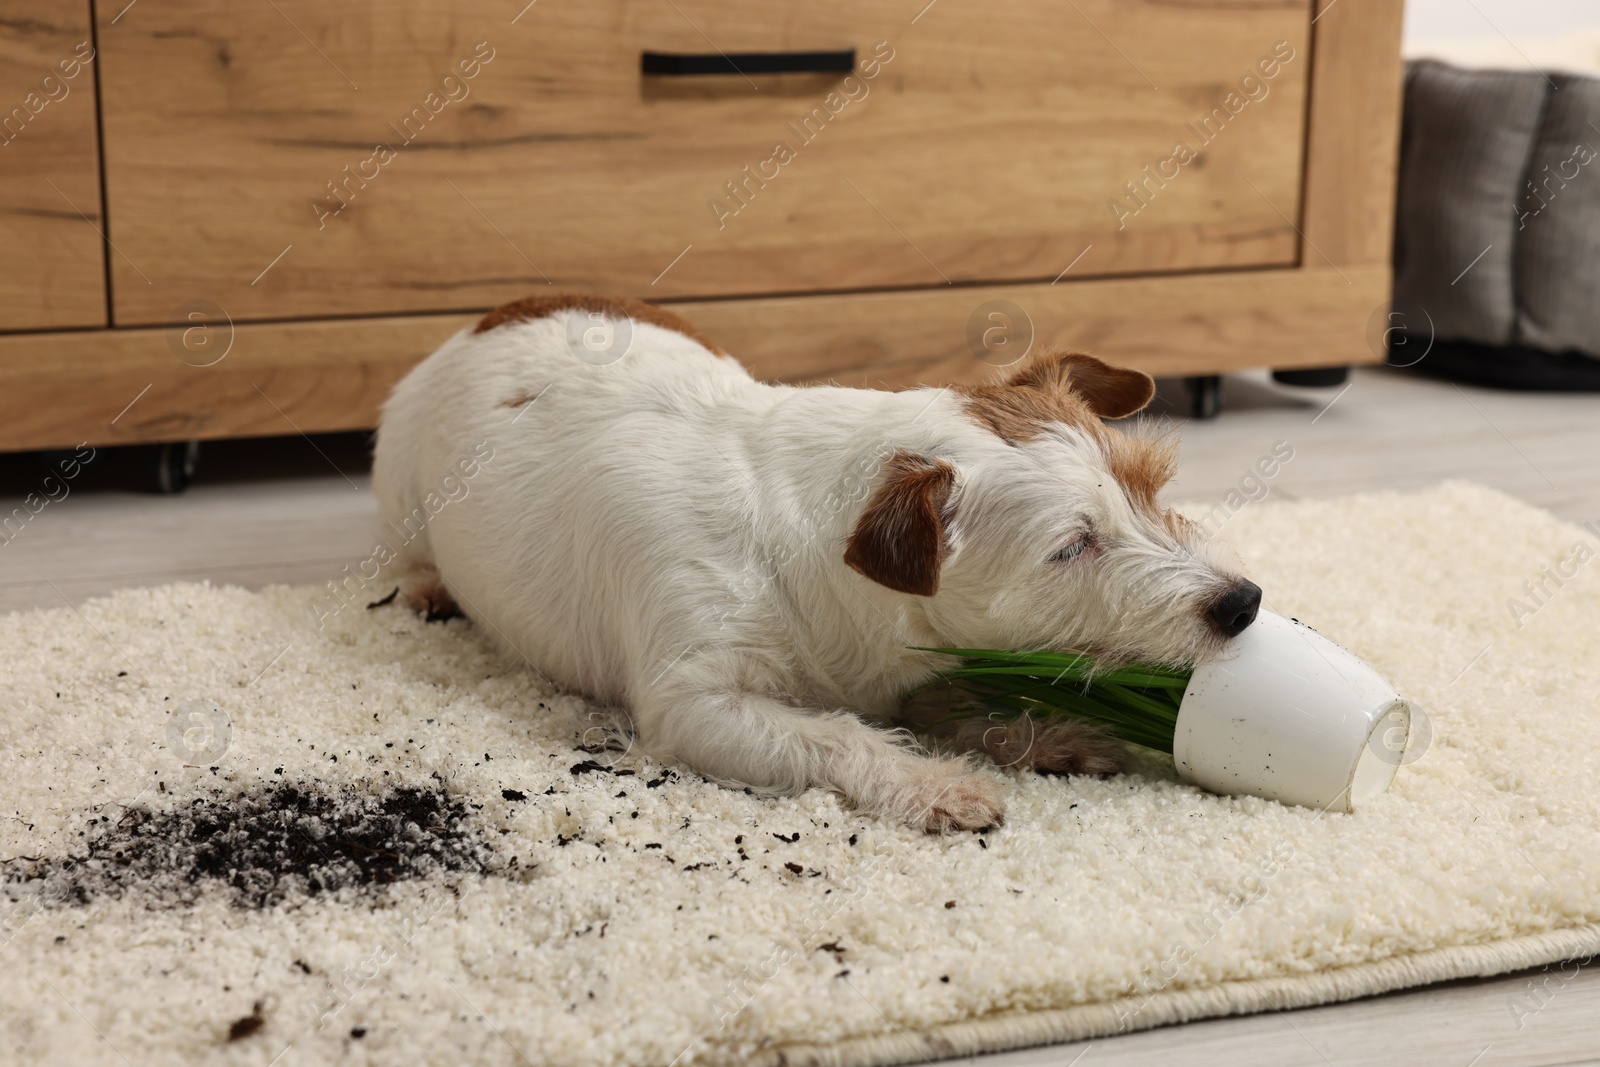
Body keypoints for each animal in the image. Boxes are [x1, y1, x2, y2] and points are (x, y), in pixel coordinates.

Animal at [374, 294, 1260, 831]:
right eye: (1071, 546)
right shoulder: (695, 704)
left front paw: (1046, 734)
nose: (1244, 601)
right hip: (398, 473)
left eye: (1150, 486)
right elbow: (836, 734)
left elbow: (957, 699)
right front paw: (935, 783)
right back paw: (426, 587)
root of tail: (496, 312)